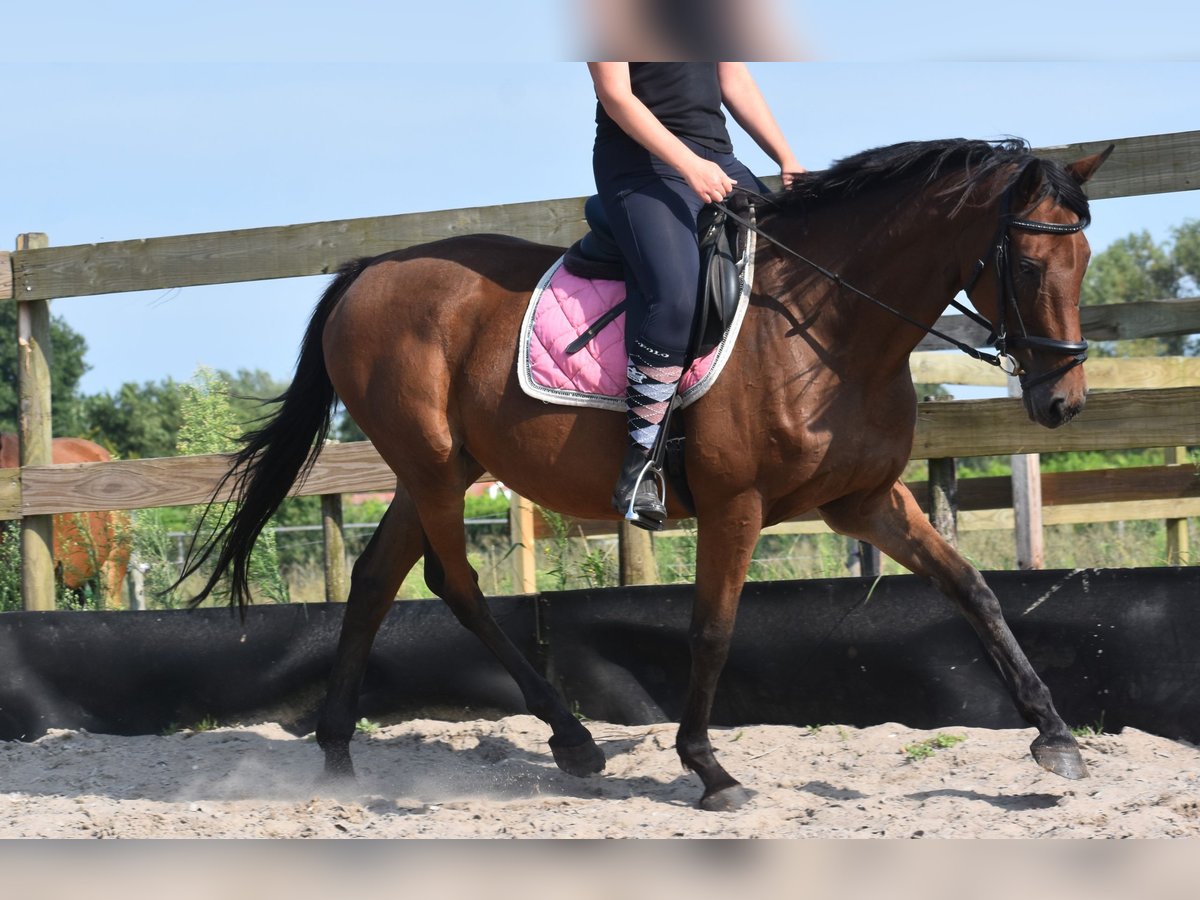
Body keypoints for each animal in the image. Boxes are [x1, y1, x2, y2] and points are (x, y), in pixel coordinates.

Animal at [187, 137, 1113, 816]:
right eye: (1031, 268)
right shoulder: (738, 506)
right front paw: (710, 770)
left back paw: (343, 749)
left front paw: (1055, 736)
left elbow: (973, 591)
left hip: (439, 470)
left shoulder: (865, 502)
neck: (830, 328)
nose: (1063, 402)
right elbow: (712, 629)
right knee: (455, 582)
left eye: (1087, 261)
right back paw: (569, 738)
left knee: (381, 577)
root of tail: (369, 270)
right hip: (431, 465)